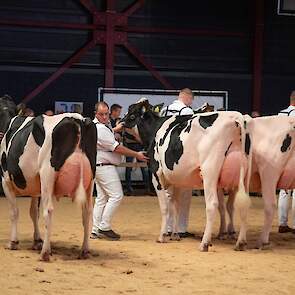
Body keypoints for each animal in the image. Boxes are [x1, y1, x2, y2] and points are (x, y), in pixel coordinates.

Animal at [0, 95, 97, 262]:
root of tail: (78, 119)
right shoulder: (35, 186)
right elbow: (33, 212)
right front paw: (37, 240)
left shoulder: (6, 180)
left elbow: (14, 212)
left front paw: (13, 242)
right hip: (90, 179)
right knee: (87, 211)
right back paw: (84, 250)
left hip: (47, 173)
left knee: (49, 210)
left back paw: (45, 252)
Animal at [123, 99, 252, 252]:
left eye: (131, 114)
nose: (120, 122)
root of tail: (235, 116)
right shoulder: (176, 180)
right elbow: (175, 206)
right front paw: (175, 235)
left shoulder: (156, 174)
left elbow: (165, 207)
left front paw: (162, 236)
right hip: (244, 175)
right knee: (242, 203)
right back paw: (241, 242)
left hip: (210, 171)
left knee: (212, 204)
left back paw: (204, 243)